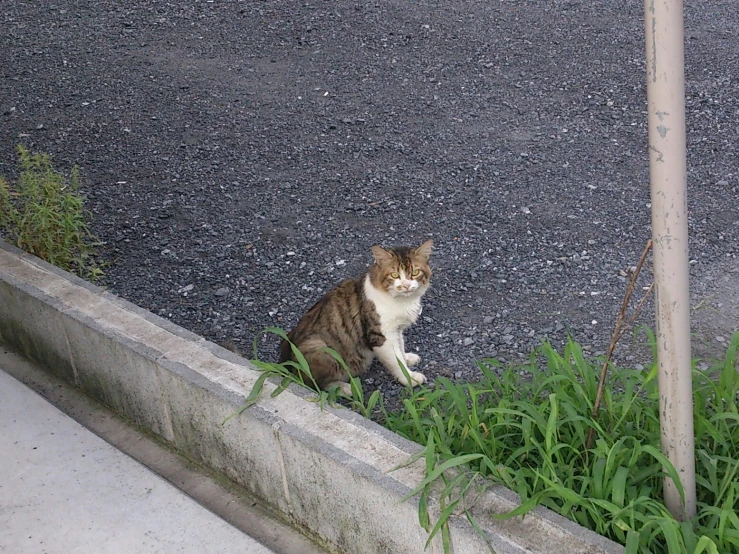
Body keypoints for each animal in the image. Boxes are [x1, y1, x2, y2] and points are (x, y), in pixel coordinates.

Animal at [280, 239, 436, 394]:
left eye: (415, 272)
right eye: (394, 275)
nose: (406, 285)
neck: (402, 301)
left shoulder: (397, 329)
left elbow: (401, 347)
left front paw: (407, 358)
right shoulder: (382, 335)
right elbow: (396, 362)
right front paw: (409, 378)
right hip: (319, 347)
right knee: (316, 384)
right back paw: (347, 388)